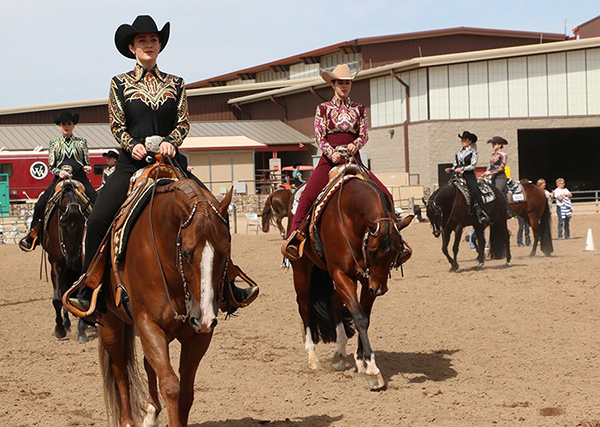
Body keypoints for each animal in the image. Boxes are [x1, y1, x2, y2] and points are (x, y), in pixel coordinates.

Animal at [44, 182, 91, 342]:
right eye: (62, 226)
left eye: (83, 226)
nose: (72, 259)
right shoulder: (56, 266)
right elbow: (58, 299)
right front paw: (59, 329)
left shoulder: (82, 266)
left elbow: (81, 297)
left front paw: (82, 330)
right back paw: (66, 324)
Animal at [95, 176, 233, 427]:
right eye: (186, 253)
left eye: (224, 250)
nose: (204, 317)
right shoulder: (148, 323)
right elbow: (171, 386)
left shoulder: (199, 336)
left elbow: (186, 392)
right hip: (109, 322)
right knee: (120, 369)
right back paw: (129, 421)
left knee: (146, 364)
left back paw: (151, 414)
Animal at [288, 175, 412, 392]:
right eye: (372, 250)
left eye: (396, 251)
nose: (380, 289)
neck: (349, 219)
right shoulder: (342, 274)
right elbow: (359, 317)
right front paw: (373, 370)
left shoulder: (367, 279)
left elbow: (364, 317)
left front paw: (362, 362)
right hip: (302, 268)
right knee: (304, 306)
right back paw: (312, 357)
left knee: (334, 303)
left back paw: (339, 354)